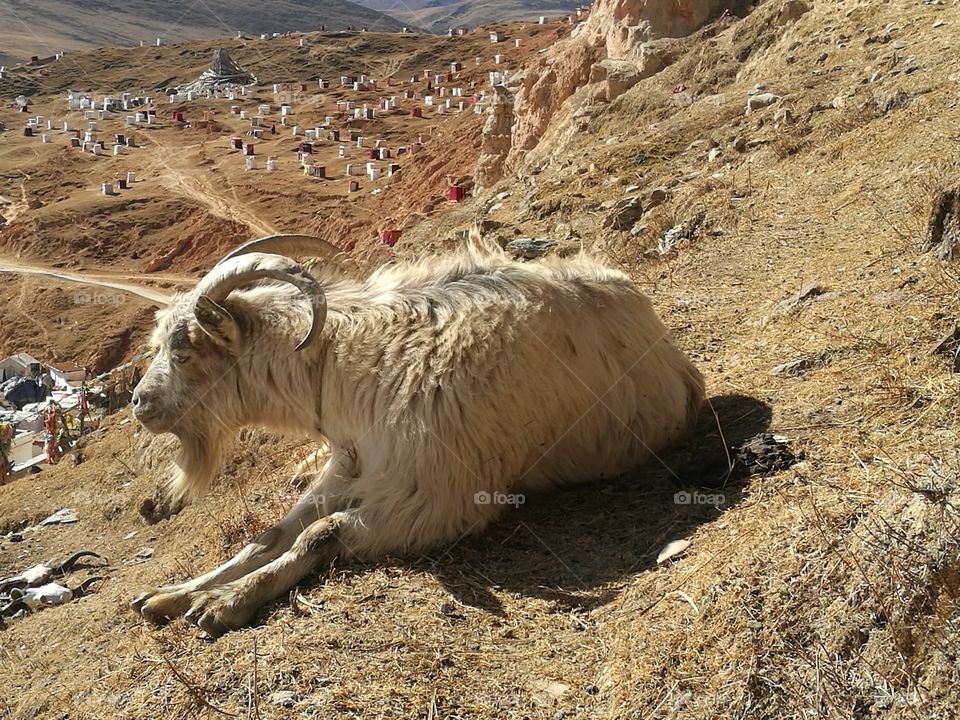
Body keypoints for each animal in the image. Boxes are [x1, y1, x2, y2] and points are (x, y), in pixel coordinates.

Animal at [129, 233, 704, 632]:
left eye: (184, 351)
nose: (139, 403)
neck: (354, 367)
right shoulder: (352, 464)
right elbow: (271, 533)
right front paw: (171, 594)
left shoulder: (435, 498)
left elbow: (322, 533)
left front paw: (222, 603)